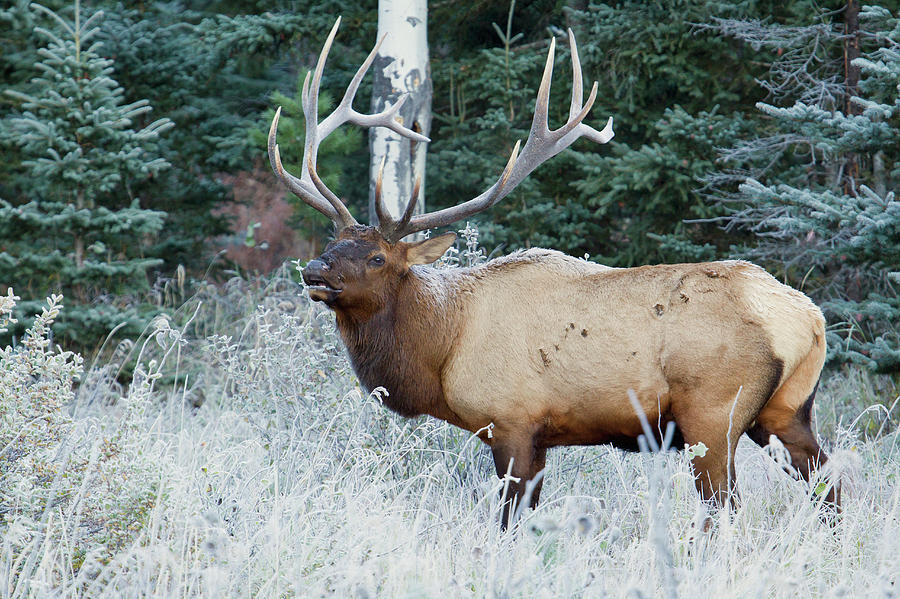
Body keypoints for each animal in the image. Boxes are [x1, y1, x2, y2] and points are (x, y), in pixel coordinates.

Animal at [268, 16, 836, 528]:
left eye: (377, 258)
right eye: (332, 243)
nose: (314, 271)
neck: (442, 347)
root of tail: (809, 319)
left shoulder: (512, 421)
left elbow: (509, 523)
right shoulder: (540, 438)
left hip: (714, 414)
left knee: (726, 509)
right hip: (785, 410)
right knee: (829, 486)